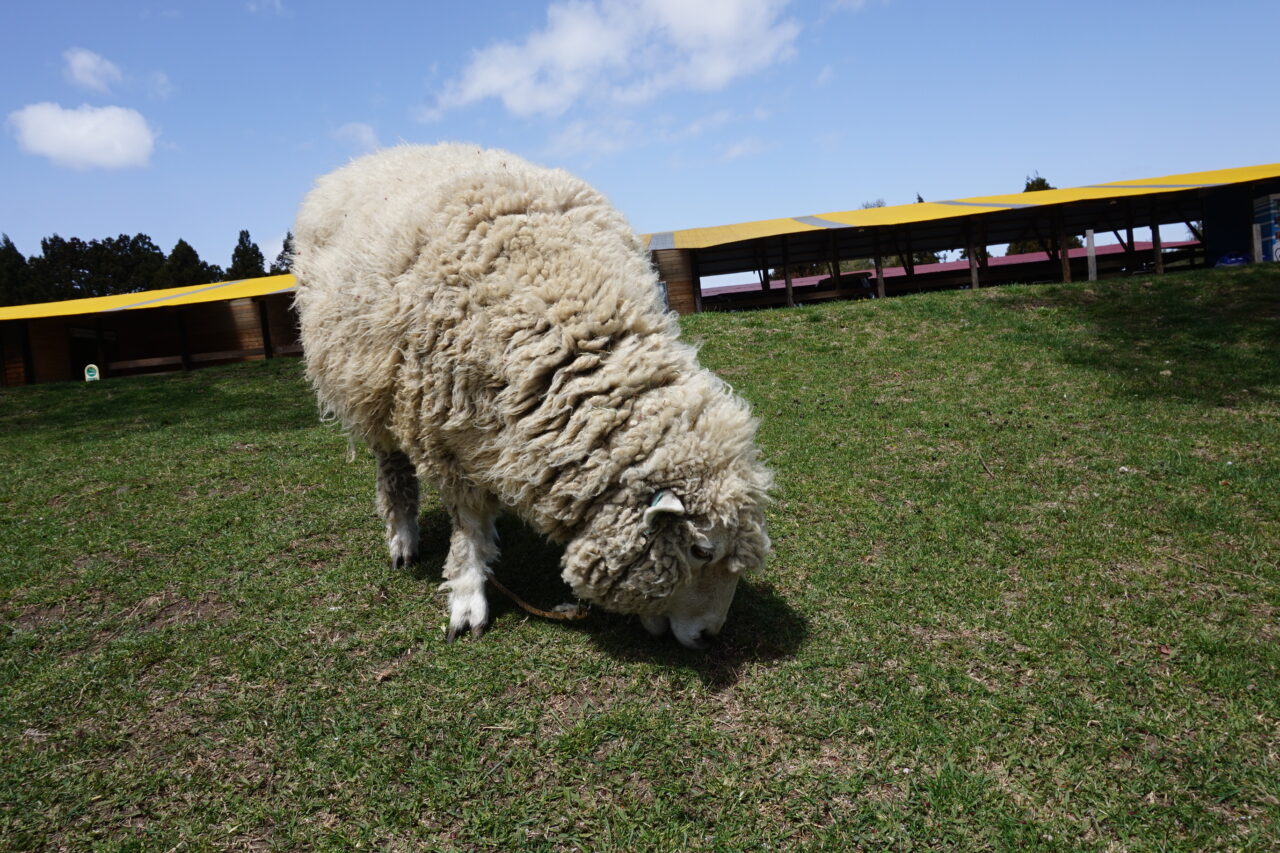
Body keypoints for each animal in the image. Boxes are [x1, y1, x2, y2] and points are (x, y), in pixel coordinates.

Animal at [290, 142, 768, 645]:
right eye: (701, 550)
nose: (711, 635)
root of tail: (375, 157)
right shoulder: (441, 432)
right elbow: (467, 523)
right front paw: (467, 595)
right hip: (368, 385)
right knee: (391, 465)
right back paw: (402, 537)